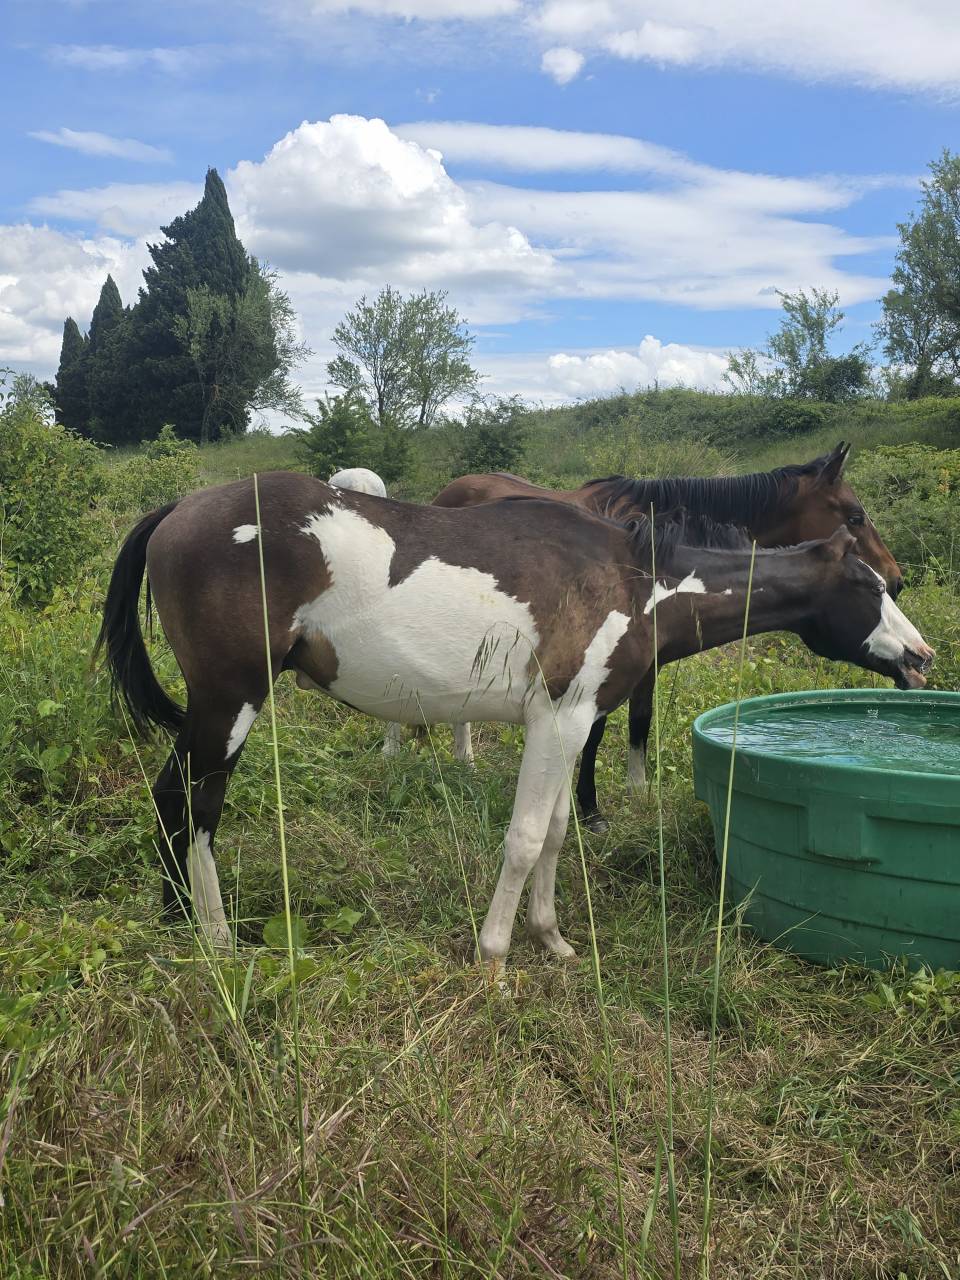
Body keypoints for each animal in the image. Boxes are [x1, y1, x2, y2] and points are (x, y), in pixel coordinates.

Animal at [431, 442, 904, 830]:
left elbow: (640, 721)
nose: (895, 579)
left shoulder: (648, 663)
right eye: (855, 516)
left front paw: (639, 792)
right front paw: (591, 808)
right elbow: (598, 731)